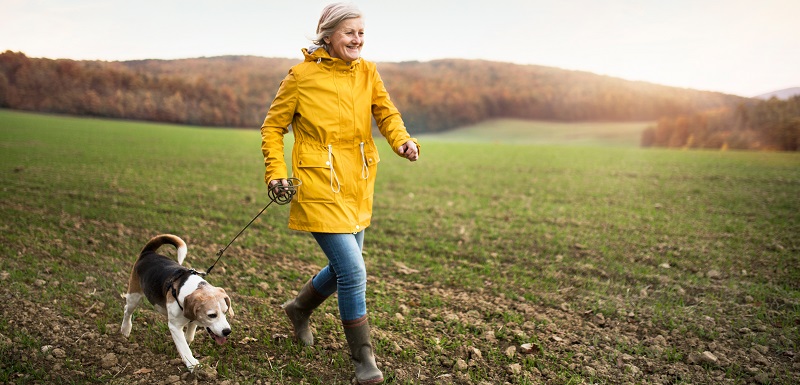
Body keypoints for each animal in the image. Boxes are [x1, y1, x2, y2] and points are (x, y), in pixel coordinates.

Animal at [119, 232, 233, 370]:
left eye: (226, 312)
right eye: (212, 315)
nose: (227, 332)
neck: (193, 288)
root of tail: (148, 252)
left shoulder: (193, 320)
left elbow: (188, 337)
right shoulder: (174, 326)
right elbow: (184, 346)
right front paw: (192, 364)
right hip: (134, 296)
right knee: (127, 310)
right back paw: (125, 329)